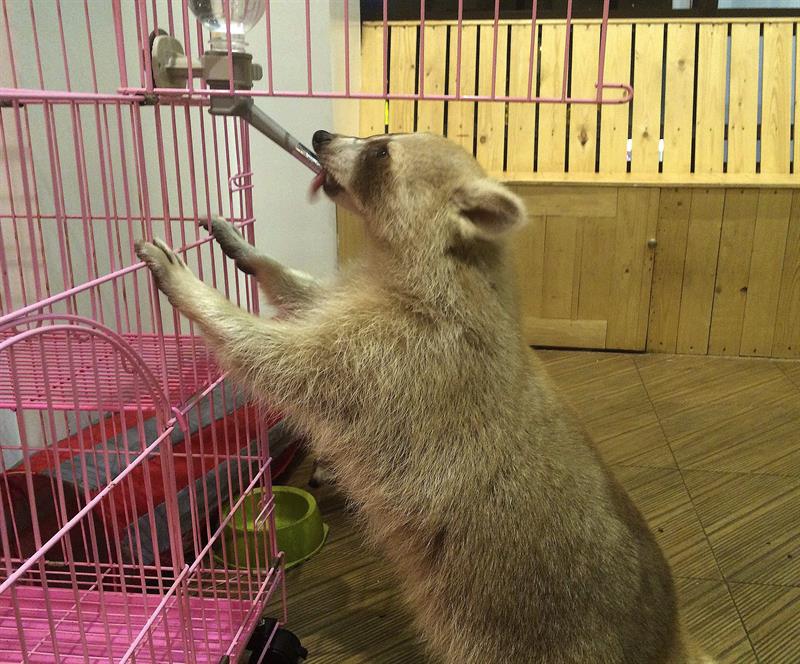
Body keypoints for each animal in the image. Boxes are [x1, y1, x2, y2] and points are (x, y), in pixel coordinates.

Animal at [136, 130, 715, 664]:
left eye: (380, 152)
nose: (320, 136)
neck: (458, 258)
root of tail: (668, 641)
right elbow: (311, 298)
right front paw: (255, 257)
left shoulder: (394, 357)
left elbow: (280, 360)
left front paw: (197, 295)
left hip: (521, 633)